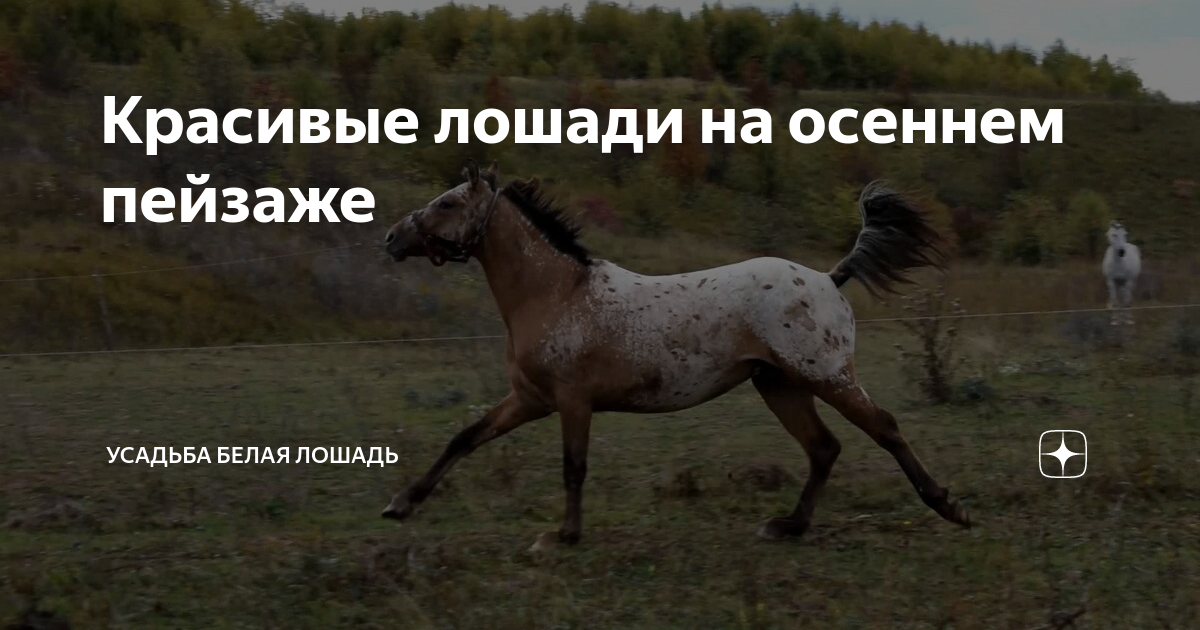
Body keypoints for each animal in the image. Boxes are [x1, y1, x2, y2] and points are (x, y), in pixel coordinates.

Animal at [381, 159, 972, 550]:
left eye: (448, 203)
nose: (391, 236)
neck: (558, 294)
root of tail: (830, 278)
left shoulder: (572, 401)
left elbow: (574, 466)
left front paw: (563, 536)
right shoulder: (529, 399)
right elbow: (464, 438)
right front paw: (400, 505)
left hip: (826, 376)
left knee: (884, 428)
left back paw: (949, 506)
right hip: (778, 384)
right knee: (824, 448)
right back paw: (787, 526)